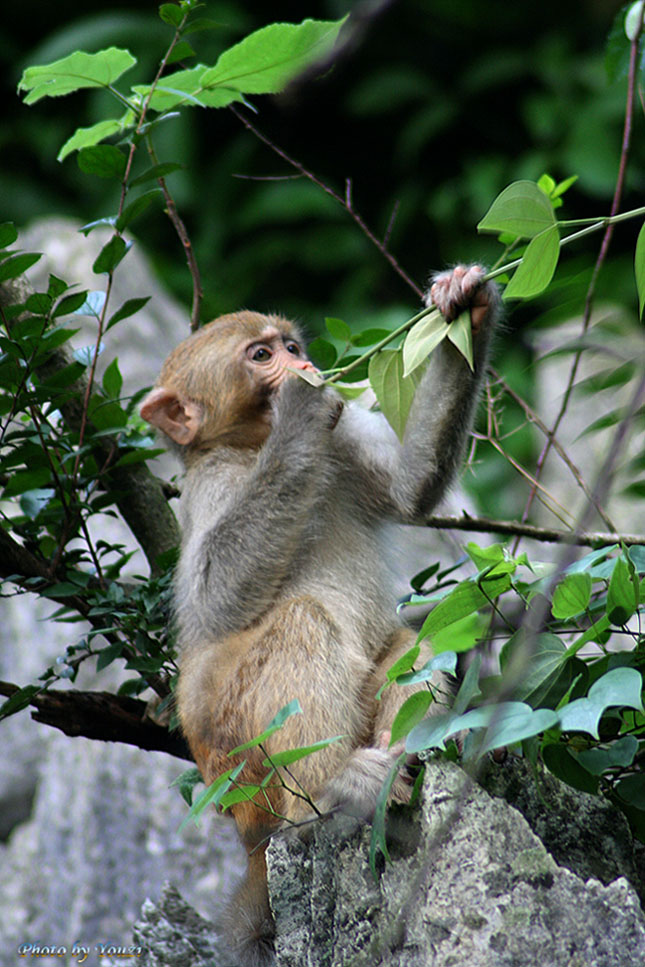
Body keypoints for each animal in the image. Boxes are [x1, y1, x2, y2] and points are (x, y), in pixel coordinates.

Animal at [140, 260, 498, 964]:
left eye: (290, 344)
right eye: (261, 356)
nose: (302, 363)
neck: (253, 447)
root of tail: (247, 835)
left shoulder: (345, 442)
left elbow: (409, 489)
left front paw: (463, 300)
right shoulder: (209, 486)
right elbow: (214, 601)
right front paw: (299, 411)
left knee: (411, 644)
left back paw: (404, 758)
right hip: (245, 769)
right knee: (301, 622)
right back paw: (327, 798)